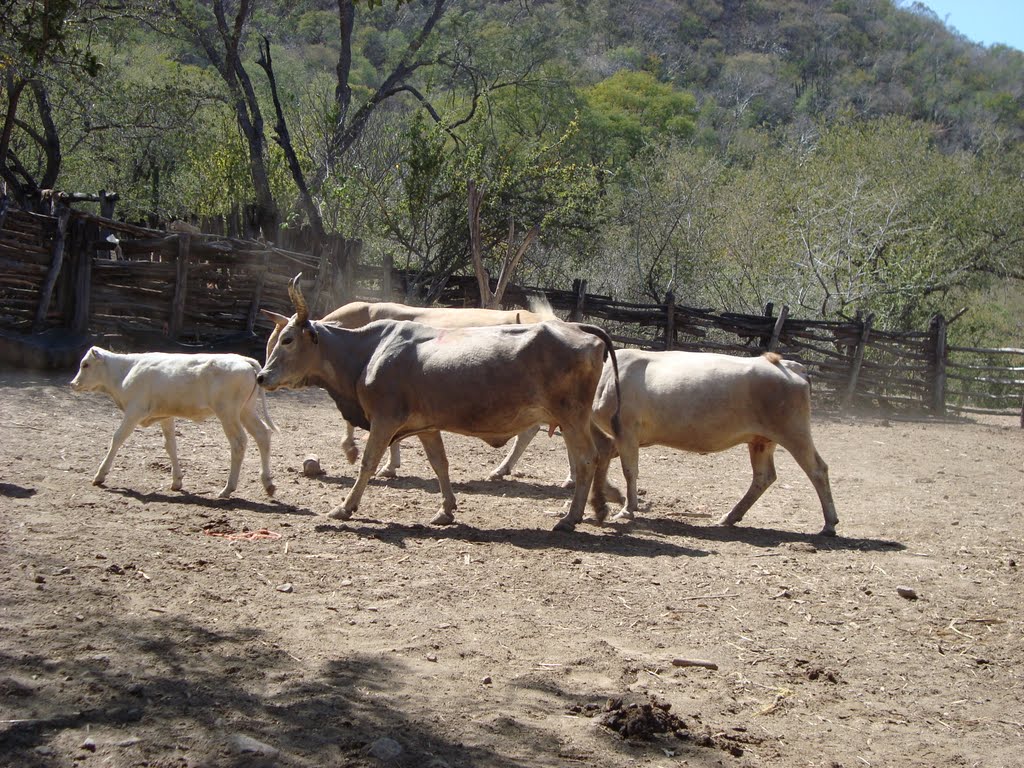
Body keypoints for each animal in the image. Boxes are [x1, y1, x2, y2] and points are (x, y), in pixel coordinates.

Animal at [71, 348, 276, 499]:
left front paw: (100, 476)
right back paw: (268, 484)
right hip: (245, 411)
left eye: (85, 364)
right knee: (262, 435)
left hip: (228, 413)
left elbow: (117, 438)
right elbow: (170, 446)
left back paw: (227, 489)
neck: (125, 371)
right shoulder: (165, 416)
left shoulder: (134, 411)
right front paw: (177, 481)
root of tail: (245, 361)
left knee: (239, 443)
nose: (73, 384)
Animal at [589, 352, 835, 536]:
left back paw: (829, 524)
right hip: (762, 440)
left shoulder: (626, 431)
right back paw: (731, 516)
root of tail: (789, 365)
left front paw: (627, 509)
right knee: (763, 476)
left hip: (794, 431)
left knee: (817, 470)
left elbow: (629, 470)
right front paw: (610, 495)